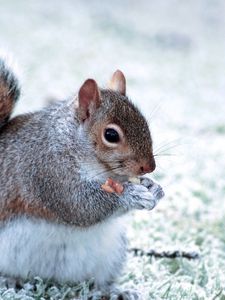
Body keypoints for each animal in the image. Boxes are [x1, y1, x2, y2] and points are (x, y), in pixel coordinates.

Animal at [0, 56, 163, 300]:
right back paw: (10, 280)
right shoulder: (47, 170)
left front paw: (154, 188)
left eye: (145, 123)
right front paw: (132, 195)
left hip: (110, 254)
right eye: (111, 135)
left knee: (96, 281)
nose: (149, 167)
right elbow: (80, 206)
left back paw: (114, 291)